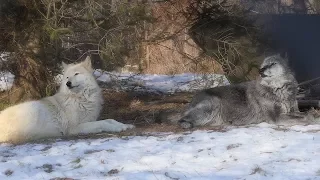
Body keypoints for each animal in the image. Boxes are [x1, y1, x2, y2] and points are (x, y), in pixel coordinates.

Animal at [0, 56, 135, 143]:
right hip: (33, 111)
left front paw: (125, 125)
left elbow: (110, 119)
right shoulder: (76, 127)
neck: (81, 98)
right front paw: (117, 128)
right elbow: (103, 123)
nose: (68, 83)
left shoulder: (90, 119)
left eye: (76, 74)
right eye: (67, 77)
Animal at [179, 54, 314, 129]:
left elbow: (304, 114)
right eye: (263, 65)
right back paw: (186, 124)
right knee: (181, 120)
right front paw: (312, 119)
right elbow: (305, 118)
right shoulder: (277, 118)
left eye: (272, 64)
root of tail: (193, 98)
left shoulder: (294, 110)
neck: (278, 89)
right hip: (213, 104)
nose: (260, 70)